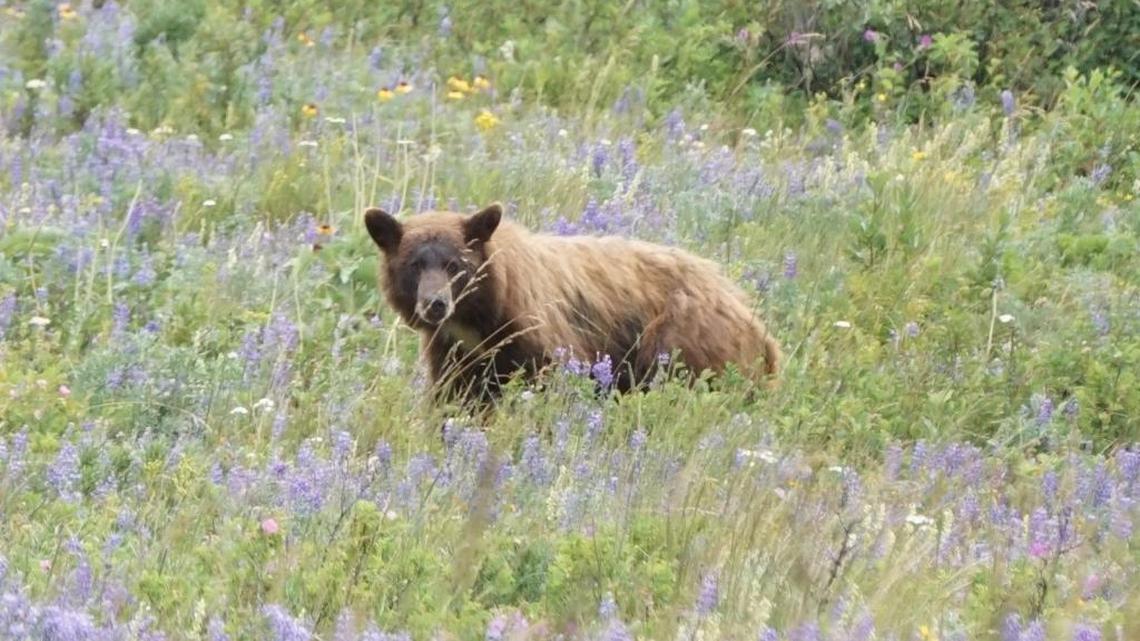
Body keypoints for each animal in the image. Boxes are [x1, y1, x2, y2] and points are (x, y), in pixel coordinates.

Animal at [363, 202, 781, 412]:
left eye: (454, 265)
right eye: (415, 264)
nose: (435, 304)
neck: (484, 316)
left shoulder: (541, 335)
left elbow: (552, 384)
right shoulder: (454, 351)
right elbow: (454, 397)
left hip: (684, 342)